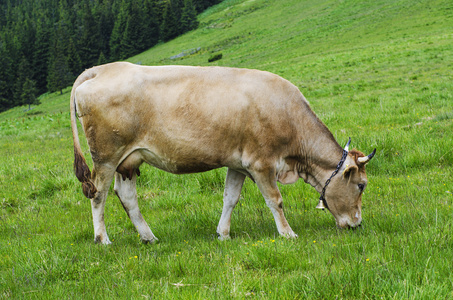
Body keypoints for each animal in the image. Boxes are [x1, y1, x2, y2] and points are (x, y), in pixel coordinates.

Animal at [69, 61, 374, 244]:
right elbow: (275, 200)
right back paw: (103, 239)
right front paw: (287, 233)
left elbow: (230, 198)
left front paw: (223, 234)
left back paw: (149, 237)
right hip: (106, 157)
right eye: (361, 185)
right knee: (98, 194)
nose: (358, 224)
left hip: (129, 160)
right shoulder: (261, 163)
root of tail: (102, 69)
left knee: (127, 196)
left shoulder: (238, 163)